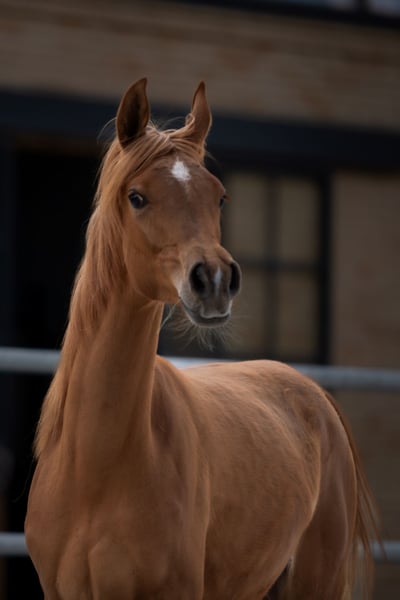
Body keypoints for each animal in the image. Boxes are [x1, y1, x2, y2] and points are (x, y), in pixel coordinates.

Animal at [25, 78, 379, 599]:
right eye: (137, 197)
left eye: (220, 197)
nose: (213, 279)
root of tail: (314, 393)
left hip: (318, 579)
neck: (93, 467)